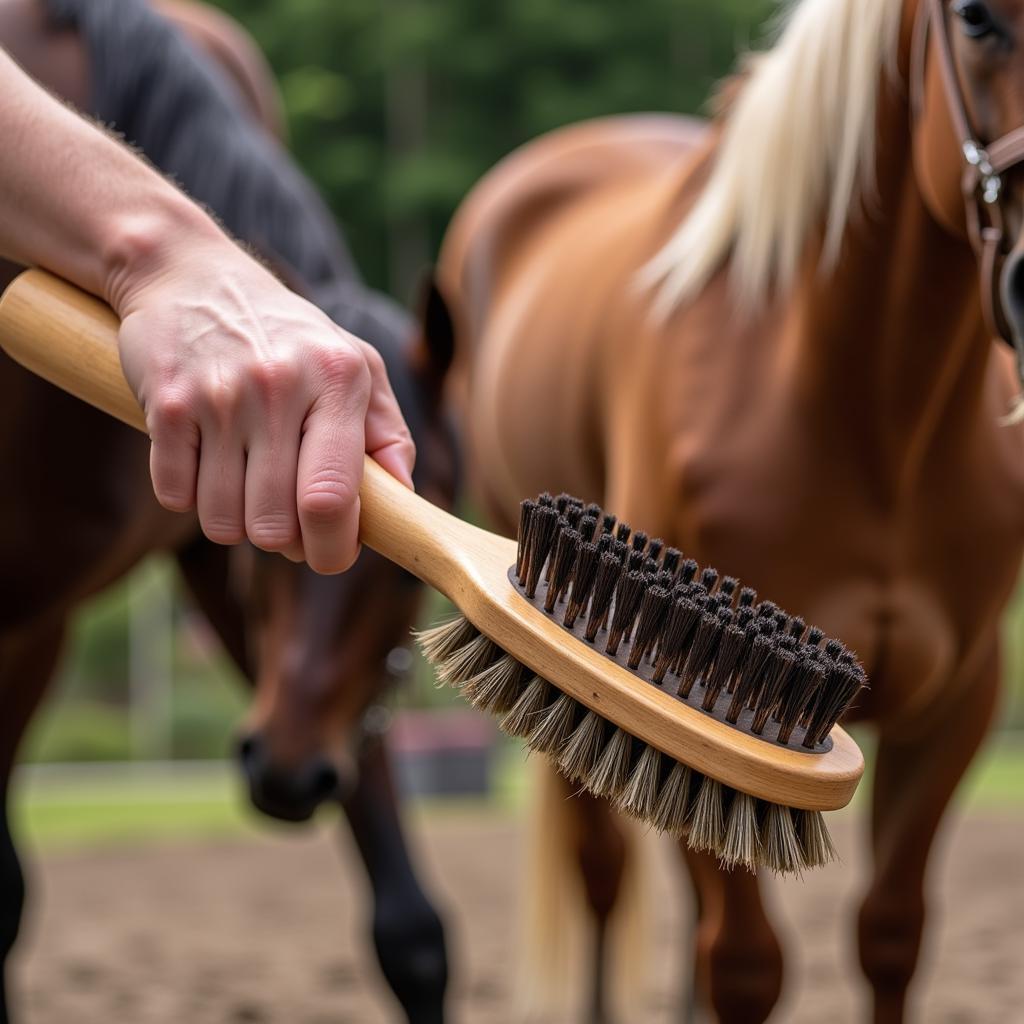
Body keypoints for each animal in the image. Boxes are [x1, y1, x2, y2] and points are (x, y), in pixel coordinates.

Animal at [0, 2, 456, 1024]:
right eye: (283, 549)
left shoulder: (213, 562)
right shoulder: (29, 613)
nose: (287, 775)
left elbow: (410, 930)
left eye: (405, 579)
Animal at [436, 0, 1024, 1019]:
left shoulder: (960, 698)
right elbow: (746, 963)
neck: (878, 421)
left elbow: (892, 934)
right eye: (978, 19)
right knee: (603, 875)